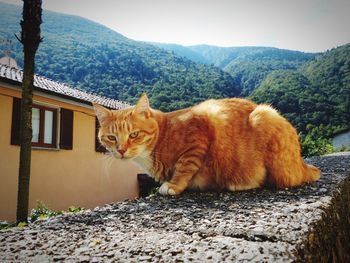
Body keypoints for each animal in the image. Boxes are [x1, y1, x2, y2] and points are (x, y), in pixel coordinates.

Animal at [93, 93, 320, 196]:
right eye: (111, 138)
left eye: (134, 134)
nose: (121, 150)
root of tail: (302, 163)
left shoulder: (198, 137)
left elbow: (184, 167)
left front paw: (173, 185)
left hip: (265, 115)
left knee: (280, 180)